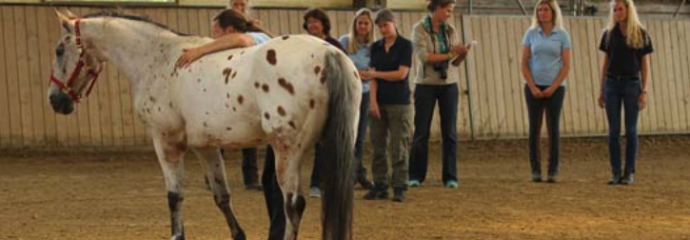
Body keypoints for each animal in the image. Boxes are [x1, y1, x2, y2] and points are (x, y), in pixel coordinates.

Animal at [47, 9, 360, 240]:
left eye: (60, 50)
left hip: (288, 150)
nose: (55, 100)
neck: (158, 59)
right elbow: (222, 196)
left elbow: (174, 196)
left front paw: (177, 235)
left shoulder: (166, 141)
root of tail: (330, 54)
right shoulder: (206, 147)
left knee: (293, 204)